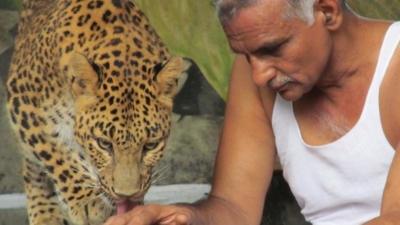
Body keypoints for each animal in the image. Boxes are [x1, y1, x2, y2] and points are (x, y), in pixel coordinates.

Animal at [4, 0, 189, 224]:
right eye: (104, 144)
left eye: (151, 145)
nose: (126, 195)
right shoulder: (23, 104)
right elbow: (55, 155)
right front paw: (87, 201)